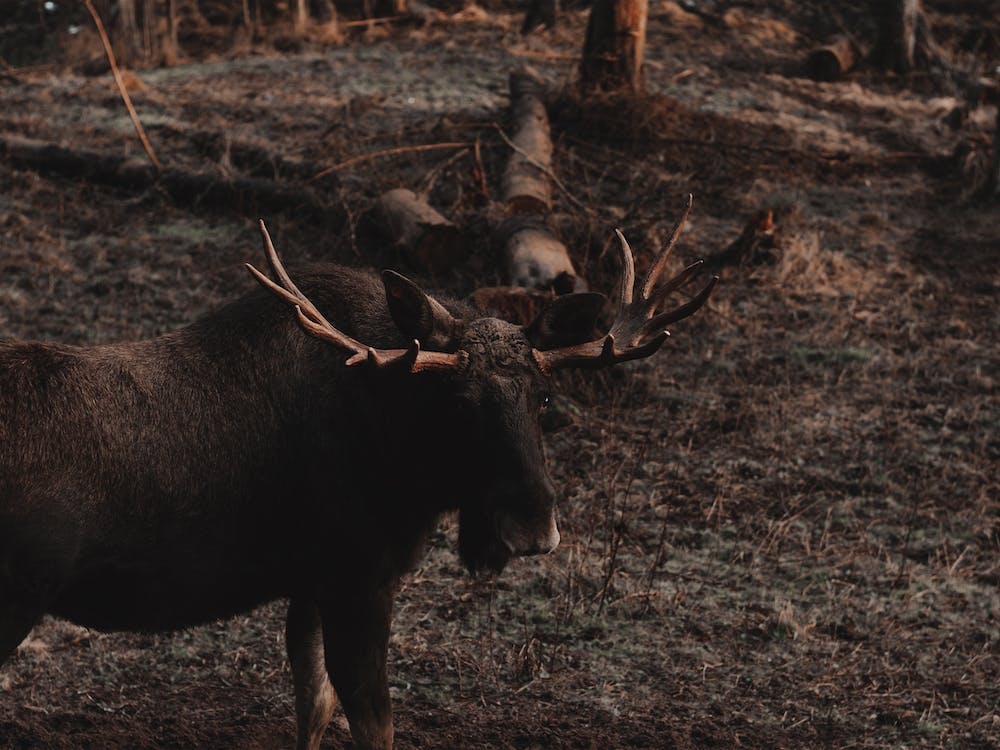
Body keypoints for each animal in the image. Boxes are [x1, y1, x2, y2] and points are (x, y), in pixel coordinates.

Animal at [0, 199, 716, 750]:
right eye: (459, 402)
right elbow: (375, 725)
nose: (533, 527)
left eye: (542, 397)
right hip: (15, 600)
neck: (403, 457)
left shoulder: (311, 581)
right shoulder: (358, 578)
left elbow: (313, 706)